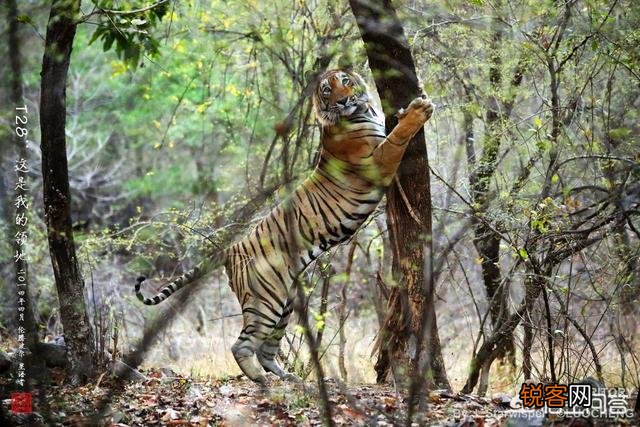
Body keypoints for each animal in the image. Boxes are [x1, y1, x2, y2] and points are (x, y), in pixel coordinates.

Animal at [135, 69, 433, 384]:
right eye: (327, 91)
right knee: (242, 345)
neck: (361, 111)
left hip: (284, 305)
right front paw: (419, 111)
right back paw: (260, 379)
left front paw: (415, 102)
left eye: (345, 81)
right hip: (266, 302)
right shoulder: (377, 161)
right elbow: (397, 136)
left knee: (266, 350)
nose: (342, 101)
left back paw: (290, 378)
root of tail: (230, 250)